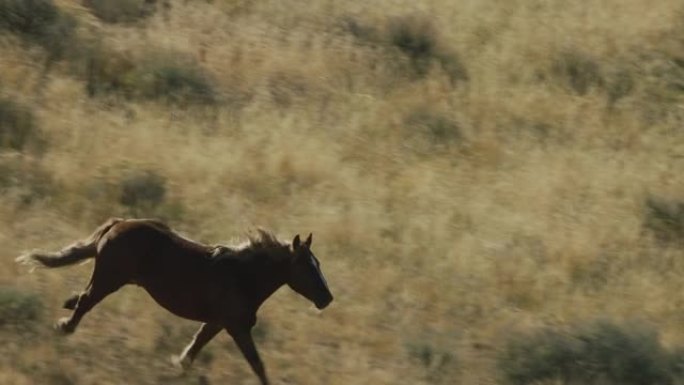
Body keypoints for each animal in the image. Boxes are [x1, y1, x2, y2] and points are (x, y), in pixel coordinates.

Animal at [17, 218, 332, 382]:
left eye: (317, 263)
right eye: (306, 266)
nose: (327, 299)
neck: (243, 274)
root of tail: (117, 224)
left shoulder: (217, 322)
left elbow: (195, 346)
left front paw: (178, 365)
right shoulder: (237, 327)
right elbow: (257, 364)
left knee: (82, 298)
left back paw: (66, 307)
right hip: (109, 279)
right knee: (85, 300)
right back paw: (64, 327)